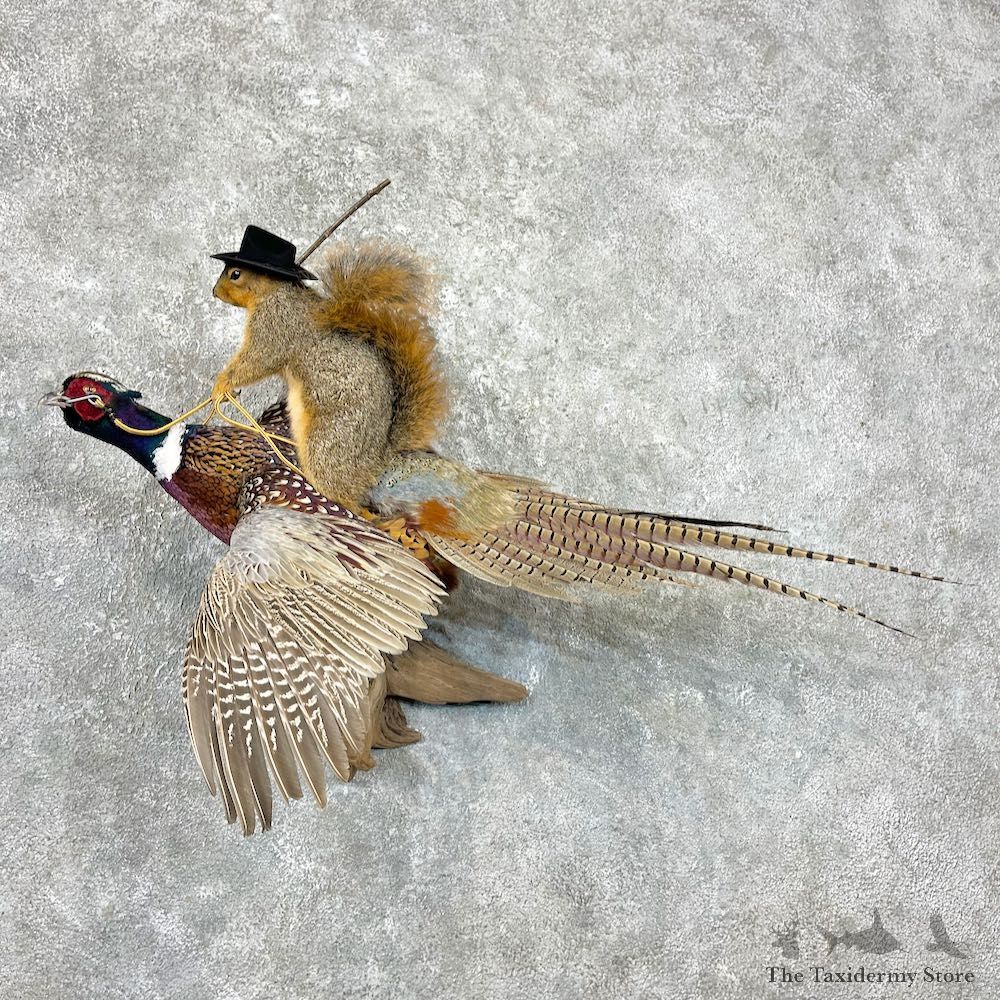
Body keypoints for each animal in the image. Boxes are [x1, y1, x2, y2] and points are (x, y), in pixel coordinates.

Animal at [209, 227, 446, 508]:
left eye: (235, 274)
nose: (214, 291)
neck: (274, 292)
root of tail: (378, 457)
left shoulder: (275, 327)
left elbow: (258, 361)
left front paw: (222, 383)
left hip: (328, 445)